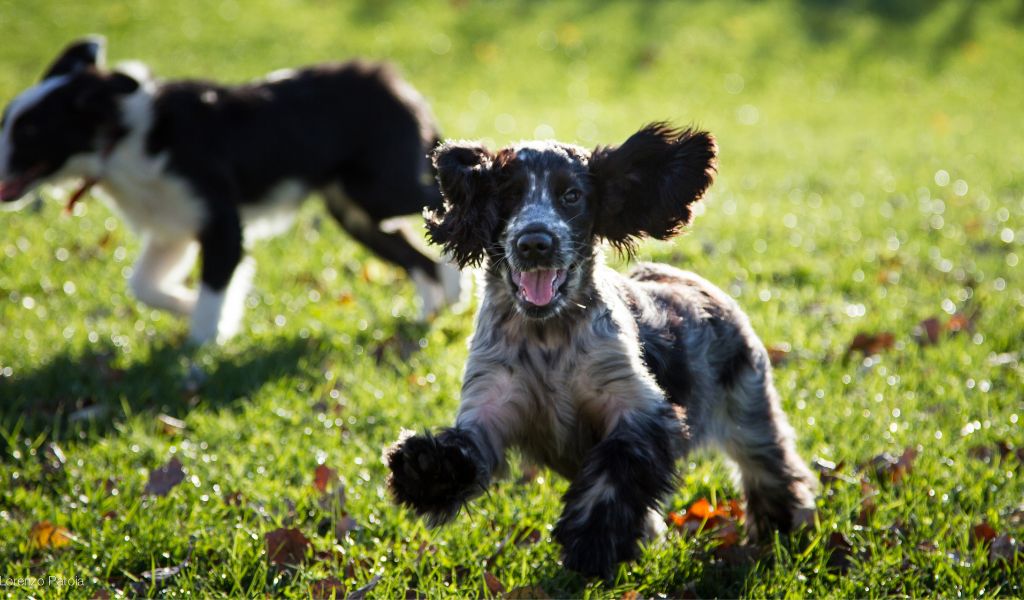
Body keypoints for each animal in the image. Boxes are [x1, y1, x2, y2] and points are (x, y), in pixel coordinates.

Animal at [385, 123, 815, 577]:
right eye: (509, 195)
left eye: (571, 196)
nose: (534, 243)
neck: (548, 335)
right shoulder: (491, 406)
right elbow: (466, 449)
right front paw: (424, 468)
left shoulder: (638, 410)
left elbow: (612, 477)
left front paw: (591, 544)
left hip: (749, 406)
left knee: (770, 466)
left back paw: (779, 528)